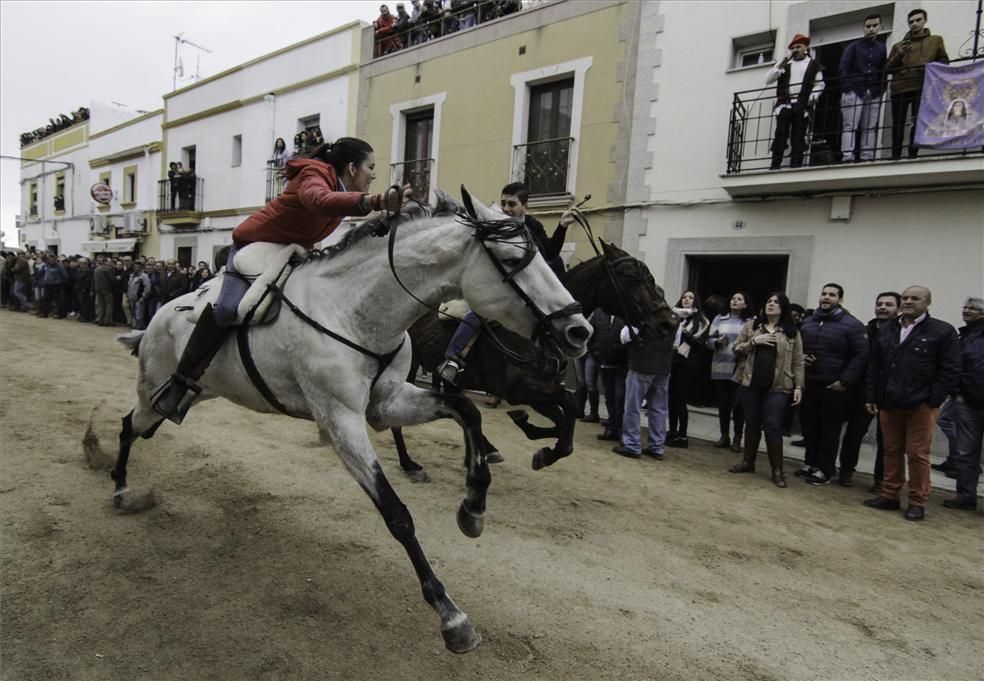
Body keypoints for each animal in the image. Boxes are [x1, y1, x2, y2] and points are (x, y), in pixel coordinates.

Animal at [115, 187, 592, 652]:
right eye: (511, 261)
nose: (579, 331)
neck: (354, 310)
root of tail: (158, 315)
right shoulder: (341, 421)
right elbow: (397, 514)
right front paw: (450, 615)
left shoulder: (388, 403)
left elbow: (467, 411)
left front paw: (473, 507)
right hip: (154, 394)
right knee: (127, 427)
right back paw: (120, 490)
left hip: (189, 397)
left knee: (140, 426)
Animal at [394, 240, 676, 478]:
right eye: (630, 277)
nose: (667, 322)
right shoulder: (521, 390)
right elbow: (569, 408)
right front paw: (542, 446)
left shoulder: (541, 392)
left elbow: (564, 420)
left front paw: (533, 434)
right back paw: (409, 464)